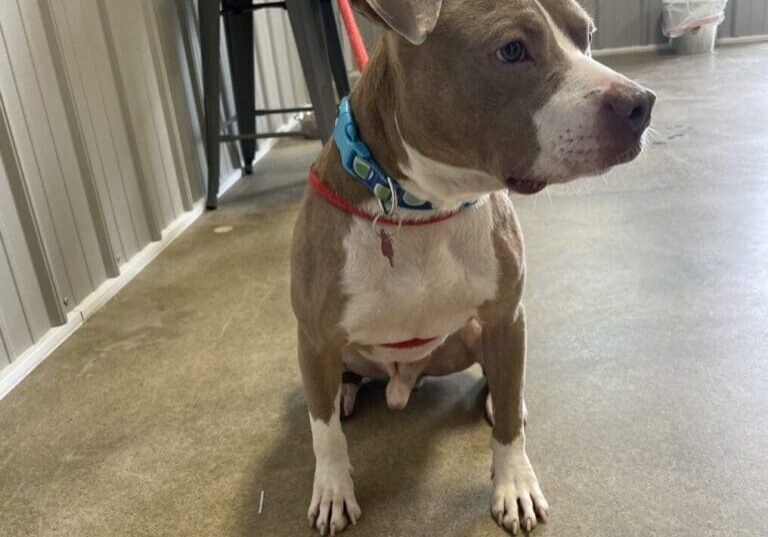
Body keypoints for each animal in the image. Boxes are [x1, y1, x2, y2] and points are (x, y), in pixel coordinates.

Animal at [290, 2, 656, 532]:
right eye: (512, 50)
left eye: (586, 35)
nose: (640, 104)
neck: (422, 207)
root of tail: (405, 378)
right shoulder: (315, 337)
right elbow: (325, 434)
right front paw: (333, 489)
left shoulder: (505, 317)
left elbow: (507, 426)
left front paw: (515, 483)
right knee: (337, 386)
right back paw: (342, 390)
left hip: (474, 336)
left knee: (502, 380)